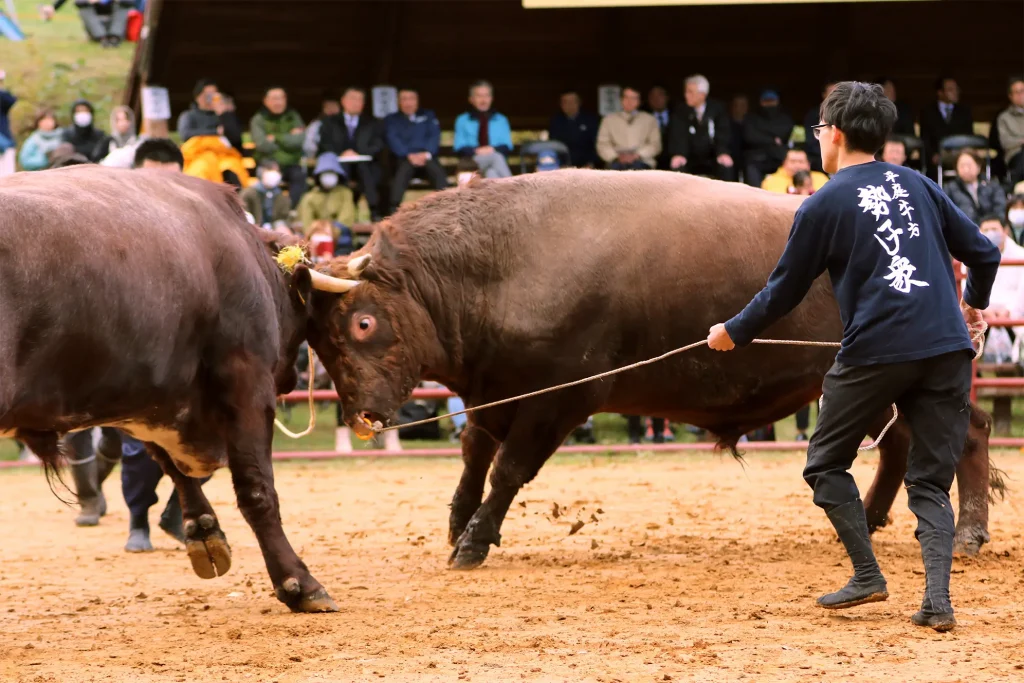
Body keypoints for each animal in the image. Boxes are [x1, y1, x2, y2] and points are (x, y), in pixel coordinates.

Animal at [0, 166, 364, 614]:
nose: (291, 379)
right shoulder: (245, 382)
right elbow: (256, 488)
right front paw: (298, 583)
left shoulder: (148, 397)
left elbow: (169, 462)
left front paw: (203, 530)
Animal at [299, 167, 999, 569]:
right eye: (319, 344)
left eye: (363, 325)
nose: (362, 417)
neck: (500, 261)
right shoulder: (497, 393)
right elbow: (474, 457)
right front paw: (458, 523)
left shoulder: (559, 402)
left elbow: (507, 471)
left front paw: (473, 541)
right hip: (865, 382)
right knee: (898, 444)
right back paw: (873, 520)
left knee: (970, 433)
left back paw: (967, 534)